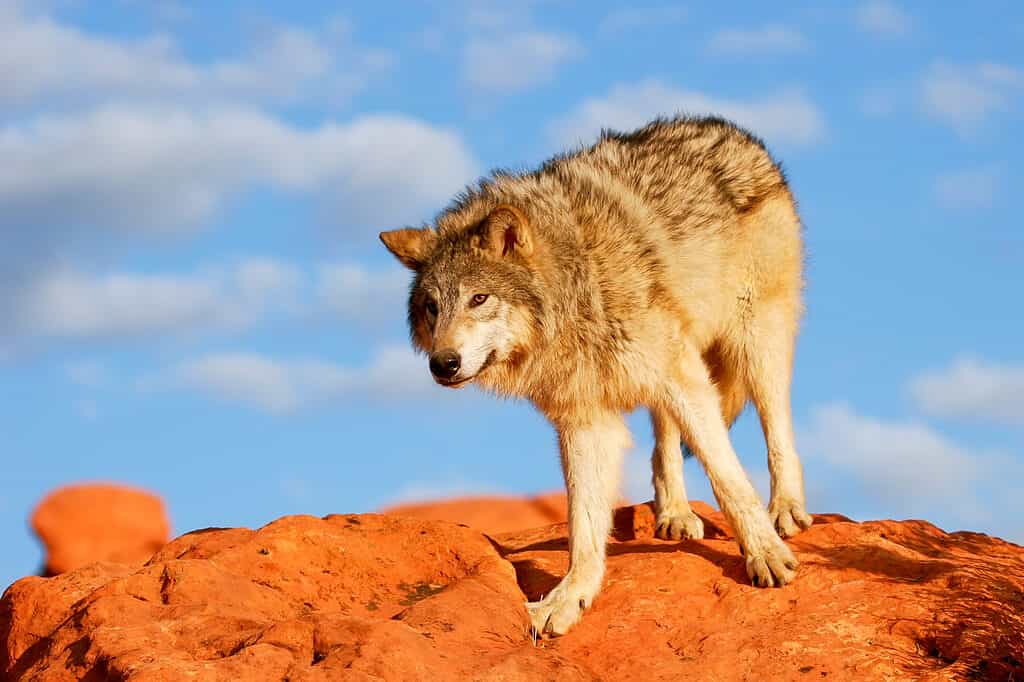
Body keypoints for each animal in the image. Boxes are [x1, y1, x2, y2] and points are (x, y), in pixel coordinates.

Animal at [380, 115, 811, 630]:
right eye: (432, 307)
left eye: (478, 299)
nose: (442, 364)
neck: (580, 286)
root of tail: (729, 129)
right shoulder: (585, 419)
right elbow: (582, 522)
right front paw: (568, 598)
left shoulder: (679, 377)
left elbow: (727, 476)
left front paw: (764, 553)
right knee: (663, 443)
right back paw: (674, 513)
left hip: (754, 341)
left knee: (776, 425)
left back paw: (786, 509)